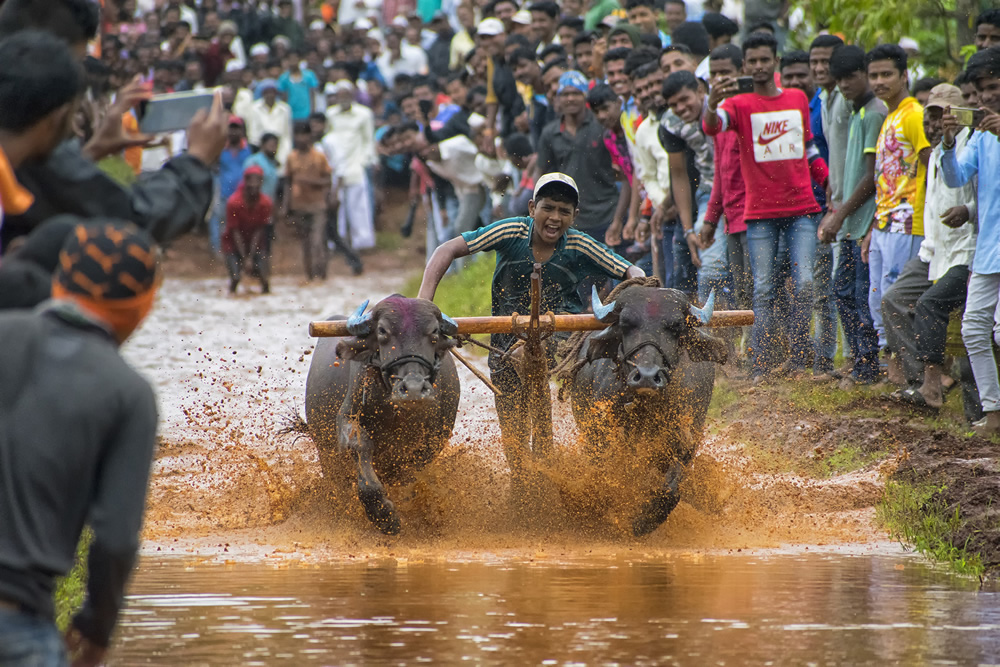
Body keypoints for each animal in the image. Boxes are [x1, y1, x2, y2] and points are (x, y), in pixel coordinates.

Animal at [304, 294, 460, 536]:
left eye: (434, 331)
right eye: (382, 331)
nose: (413, 389)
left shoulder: (434, 438)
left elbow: (409, 470)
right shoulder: (347, 417)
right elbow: (360, 447)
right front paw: (383, 515)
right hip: (325, 453)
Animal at [572, 286, 728, 536]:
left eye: (676, 327)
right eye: (625, 324)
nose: (646, 376)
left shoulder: (686, 441)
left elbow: (670, 490)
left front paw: (643, 523)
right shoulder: (599, 434)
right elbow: (606, 475)